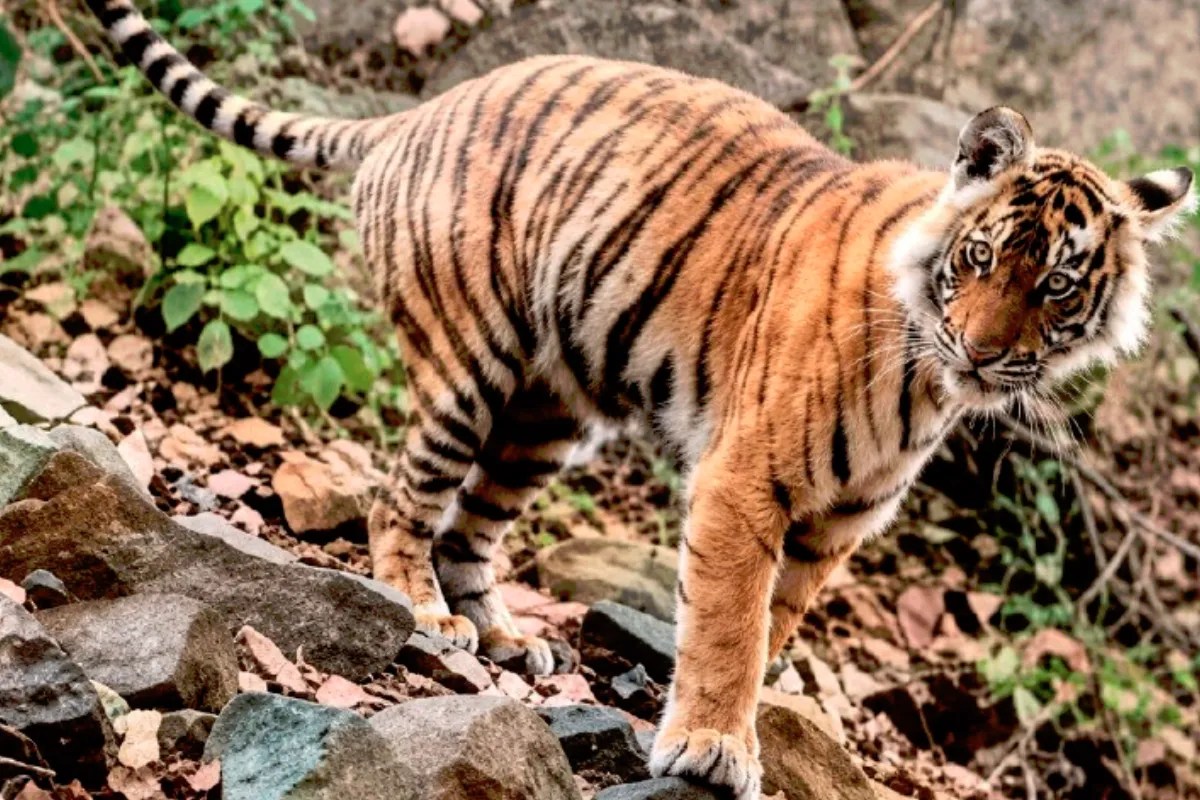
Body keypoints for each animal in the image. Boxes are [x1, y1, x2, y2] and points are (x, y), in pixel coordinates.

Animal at [87, 1, 1195, 796]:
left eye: (1058, 284)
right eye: (982, 257)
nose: (983, 349)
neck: (925, 383)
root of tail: (419, 110)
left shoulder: (832, 527)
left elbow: (772, 630)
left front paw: (728, 724)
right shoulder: (748, 478)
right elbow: (729, 625)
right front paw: (710, 745)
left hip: (547, 412)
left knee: (470, 527)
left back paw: (507, 637)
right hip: (470, 362)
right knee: (402, 499)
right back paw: (426, 615)